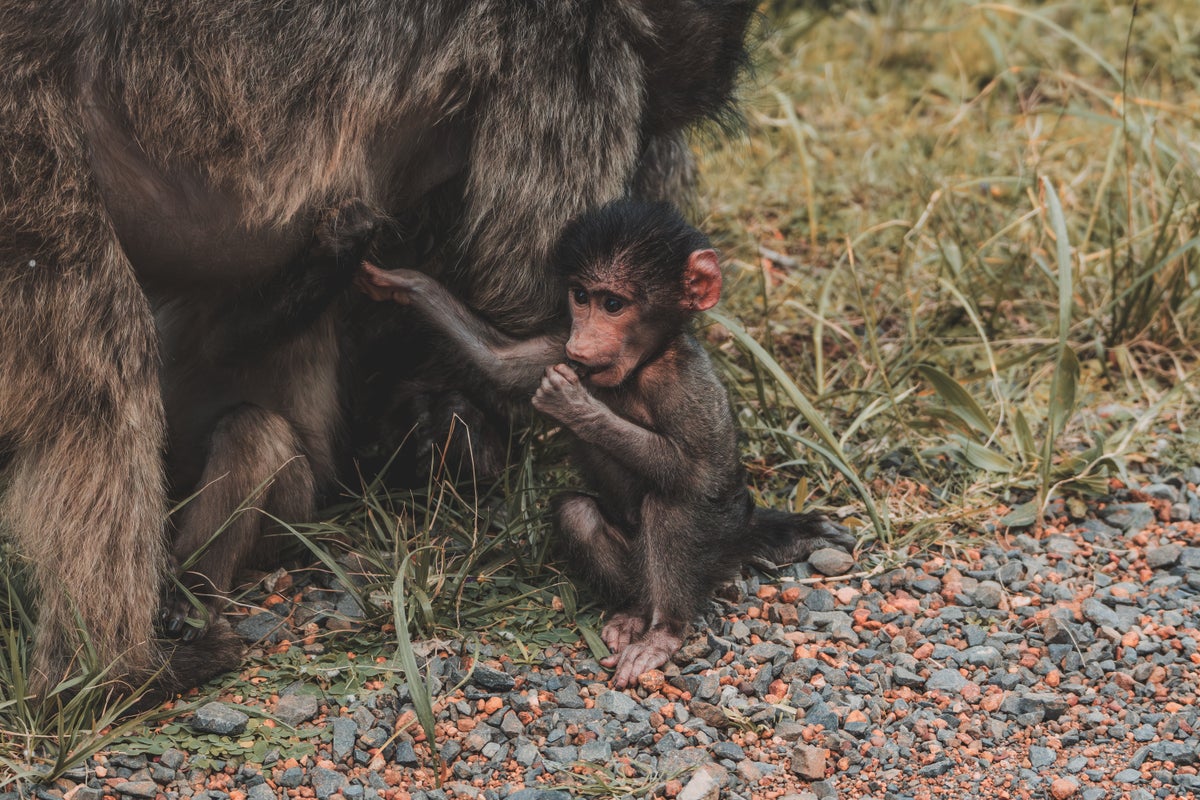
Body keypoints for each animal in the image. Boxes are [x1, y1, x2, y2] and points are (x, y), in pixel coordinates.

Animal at [357, 200, 855, 687]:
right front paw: (402, 282)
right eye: (581, 297)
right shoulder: (559, 345)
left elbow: (698, 471)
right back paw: (636, 612)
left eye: (613, 304)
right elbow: (498, 363)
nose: (584, 339)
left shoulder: (682, 380)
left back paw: (663, 632)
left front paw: (573, 403)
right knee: (578, 513)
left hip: (719, 541)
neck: (636, 370)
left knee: (670, 505)